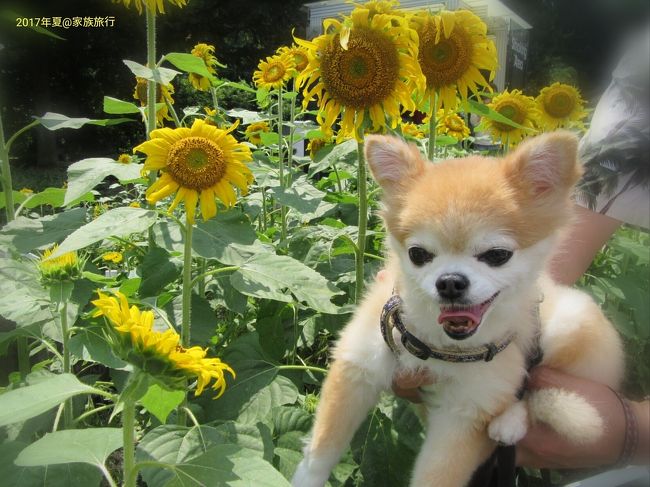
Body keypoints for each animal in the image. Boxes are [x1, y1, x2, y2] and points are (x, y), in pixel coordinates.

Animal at [290, 132, 624, 486]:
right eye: (418, 254)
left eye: (497, 255)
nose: (450, 282)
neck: (439, 344)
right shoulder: (358, 367)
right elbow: (322, 449)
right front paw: (306, 480)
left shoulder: (464, 417)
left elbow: (437, 476)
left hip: (572, 321)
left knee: (532, 393)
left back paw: (511, 422)